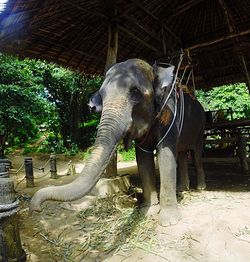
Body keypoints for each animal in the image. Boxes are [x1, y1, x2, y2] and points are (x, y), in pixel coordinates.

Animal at [29, 58, 205, 226]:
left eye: (135, 92)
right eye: (101, 96)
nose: (36, 209)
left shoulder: (169, 115)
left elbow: (166, 157)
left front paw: (169, 222)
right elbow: (143, 159)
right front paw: (148, 212)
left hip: (201, 128)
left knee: (197, 154)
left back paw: (200, 188)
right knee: (182, 154)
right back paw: (182, 188)